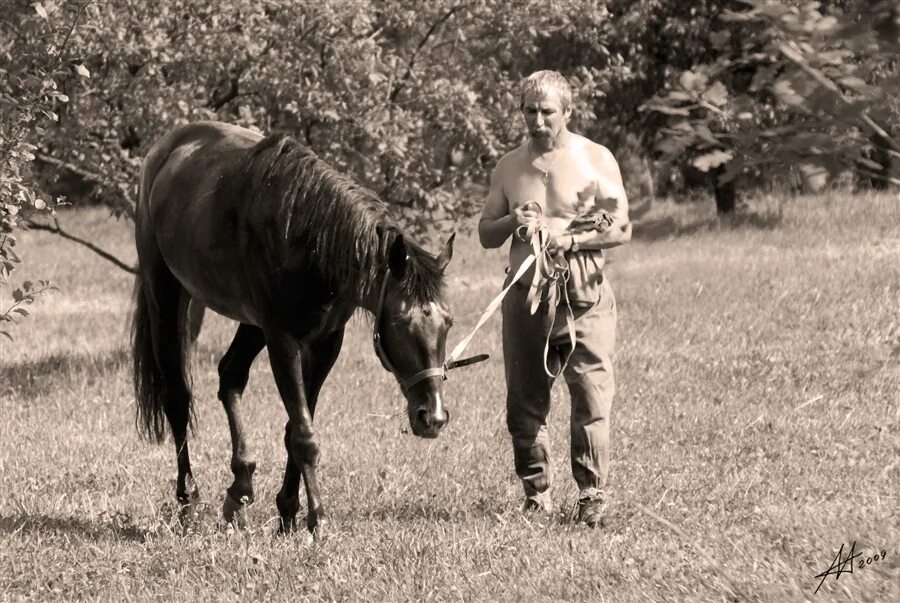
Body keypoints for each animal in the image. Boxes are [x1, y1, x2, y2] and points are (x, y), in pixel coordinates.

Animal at [132, 120, 458, 536]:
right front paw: (317, 518)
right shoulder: (282, 340)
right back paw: (188, 501)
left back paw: (240, 487)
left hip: (251, 323)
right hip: (167, 296)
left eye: (448, 322)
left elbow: (296, 426)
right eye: (401, 323)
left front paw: (288, 511)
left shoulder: (325, 343)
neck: (308, 234)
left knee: (230, 376)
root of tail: (165, 150)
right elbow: (304, 435)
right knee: (176, 398)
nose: (433, 418)